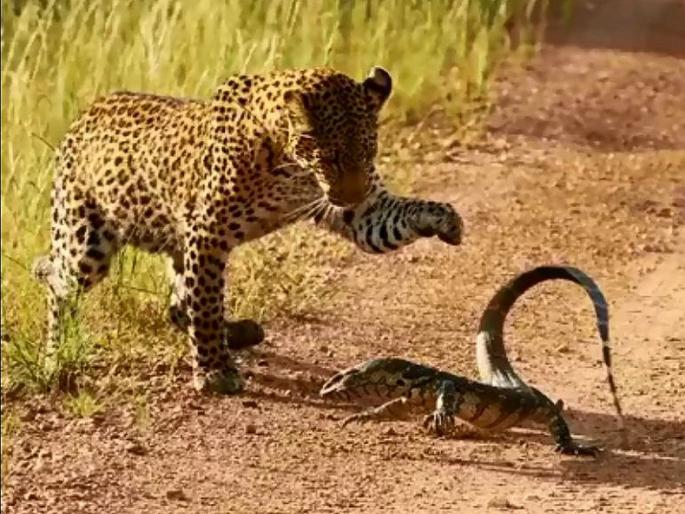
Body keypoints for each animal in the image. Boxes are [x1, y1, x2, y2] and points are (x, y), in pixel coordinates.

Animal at [33, 65, 464, 394]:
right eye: (332, 157)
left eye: (369, 152)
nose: (351, 195)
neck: (292, 165)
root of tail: (88, 111)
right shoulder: (208, 232)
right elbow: (206, 304)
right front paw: (214, 372)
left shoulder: (365, 213)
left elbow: (397, 215)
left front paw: (445, 218)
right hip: (85, 241)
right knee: (58, 282)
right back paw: (55, 356)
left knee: (177, 304)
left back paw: (240, 332)